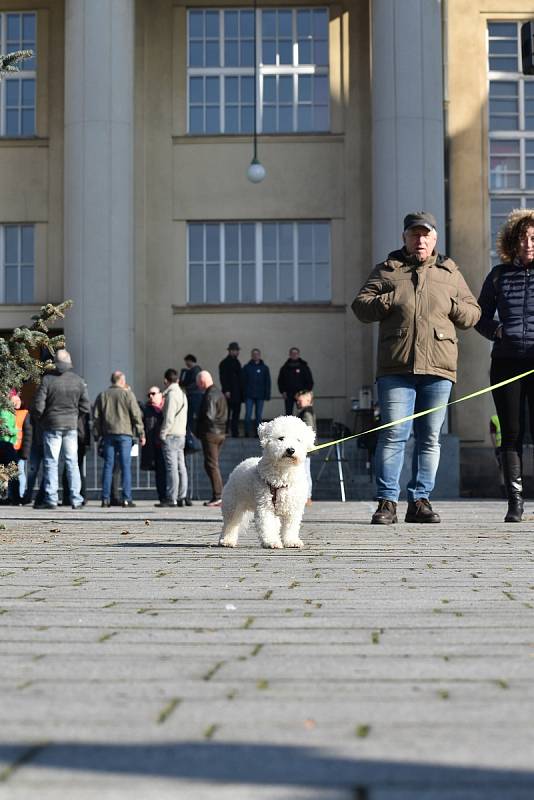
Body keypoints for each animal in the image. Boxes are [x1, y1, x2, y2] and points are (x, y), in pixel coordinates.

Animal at [219, 412, 316, 552]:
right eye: (281, 438)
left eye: (298, 440)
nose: (291, 450)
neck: (283, 474)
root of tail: (240, 465)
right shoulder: (265, 506)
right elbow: (267, 525)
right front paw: (272, 542)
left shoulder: (292, 508)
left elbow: (290, 527)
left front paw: (291, 541)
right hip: (233, 503)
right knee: (230, 523)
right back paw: (227, 540)